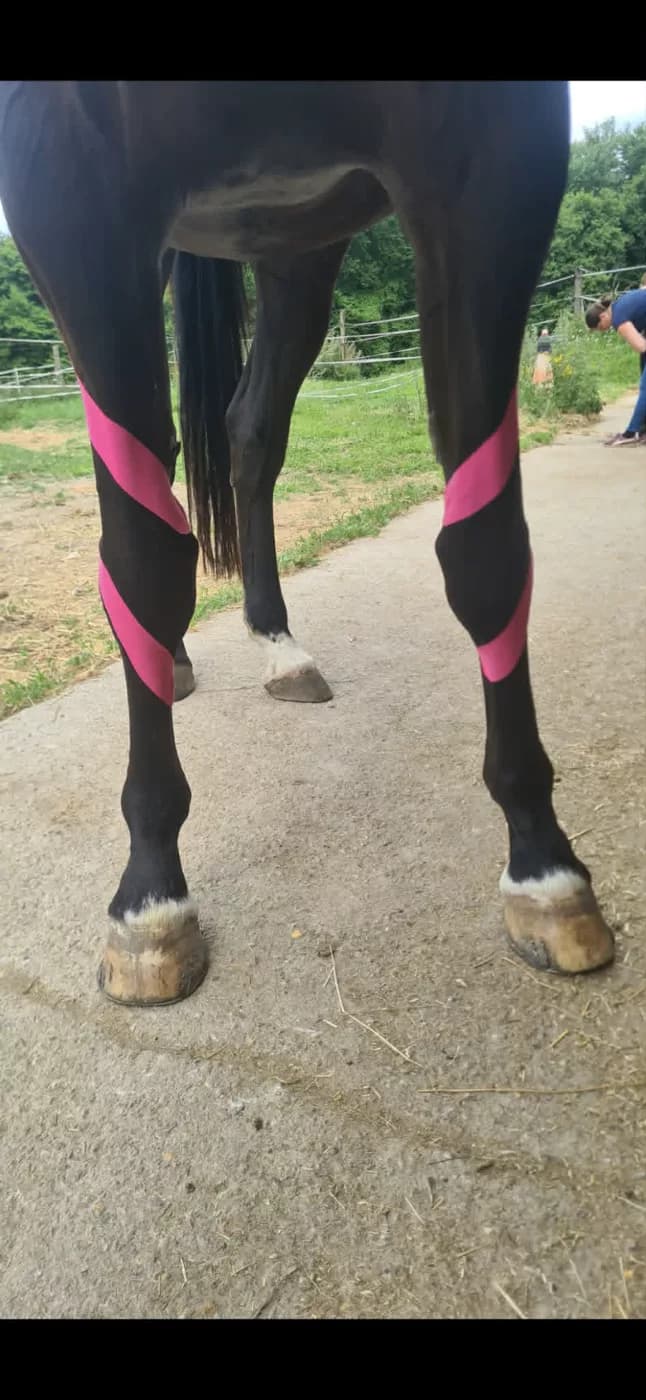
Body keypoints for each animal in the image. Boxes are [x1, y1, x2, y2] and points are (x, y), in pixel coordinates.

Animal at [0, 81, 615, 1007]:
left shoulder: (496, 156)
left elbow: (487, 547)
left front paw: (544, 865)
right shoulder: (65, 187)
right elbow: (142, 563)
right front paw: (150, 897)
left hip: (294, 247)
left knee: (248, 431)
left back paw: (277, 644)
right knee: (172, 470)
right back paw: (180, 659)